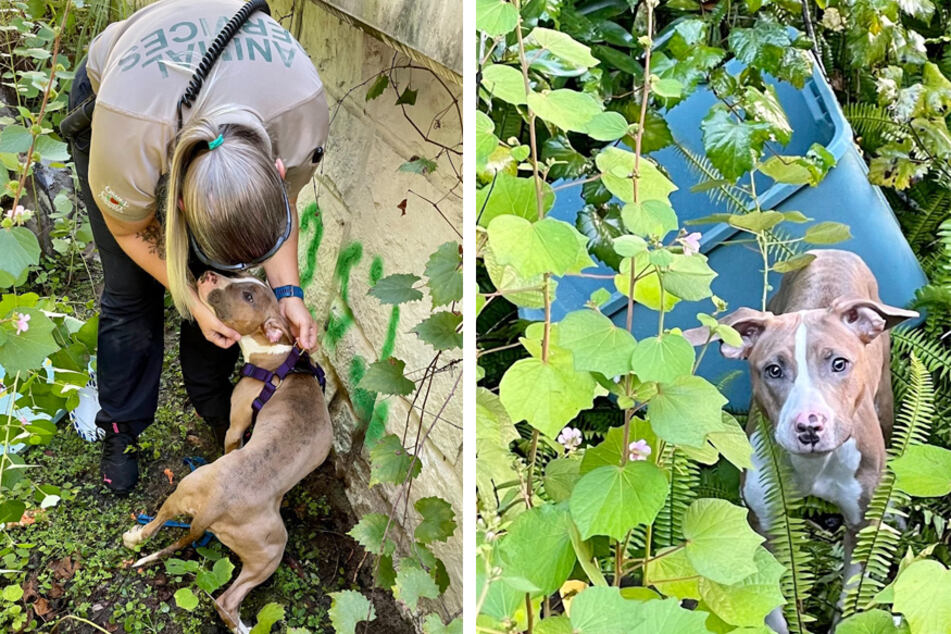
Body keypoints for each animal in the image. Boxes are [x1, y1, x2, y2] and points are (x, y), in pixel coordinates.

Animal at [121, 272, 334, 632]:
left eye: (248, 295)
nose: (208, 275)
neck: (278, 355)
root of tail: (214, 508)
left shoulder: (236, 425)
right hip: (253, 540)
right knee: (221, 596)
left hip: (208, 509)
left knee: (169, 537)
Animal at [688, 249, 920, 628]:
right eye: (773, 370)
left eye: (839, 363)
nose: (809, 426)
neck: (815, 466)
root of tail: (831, 251)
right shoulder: (765, 522)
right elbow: (771, 606)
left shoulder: (860, 522)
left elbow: (851, 591)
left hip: (884, 399)